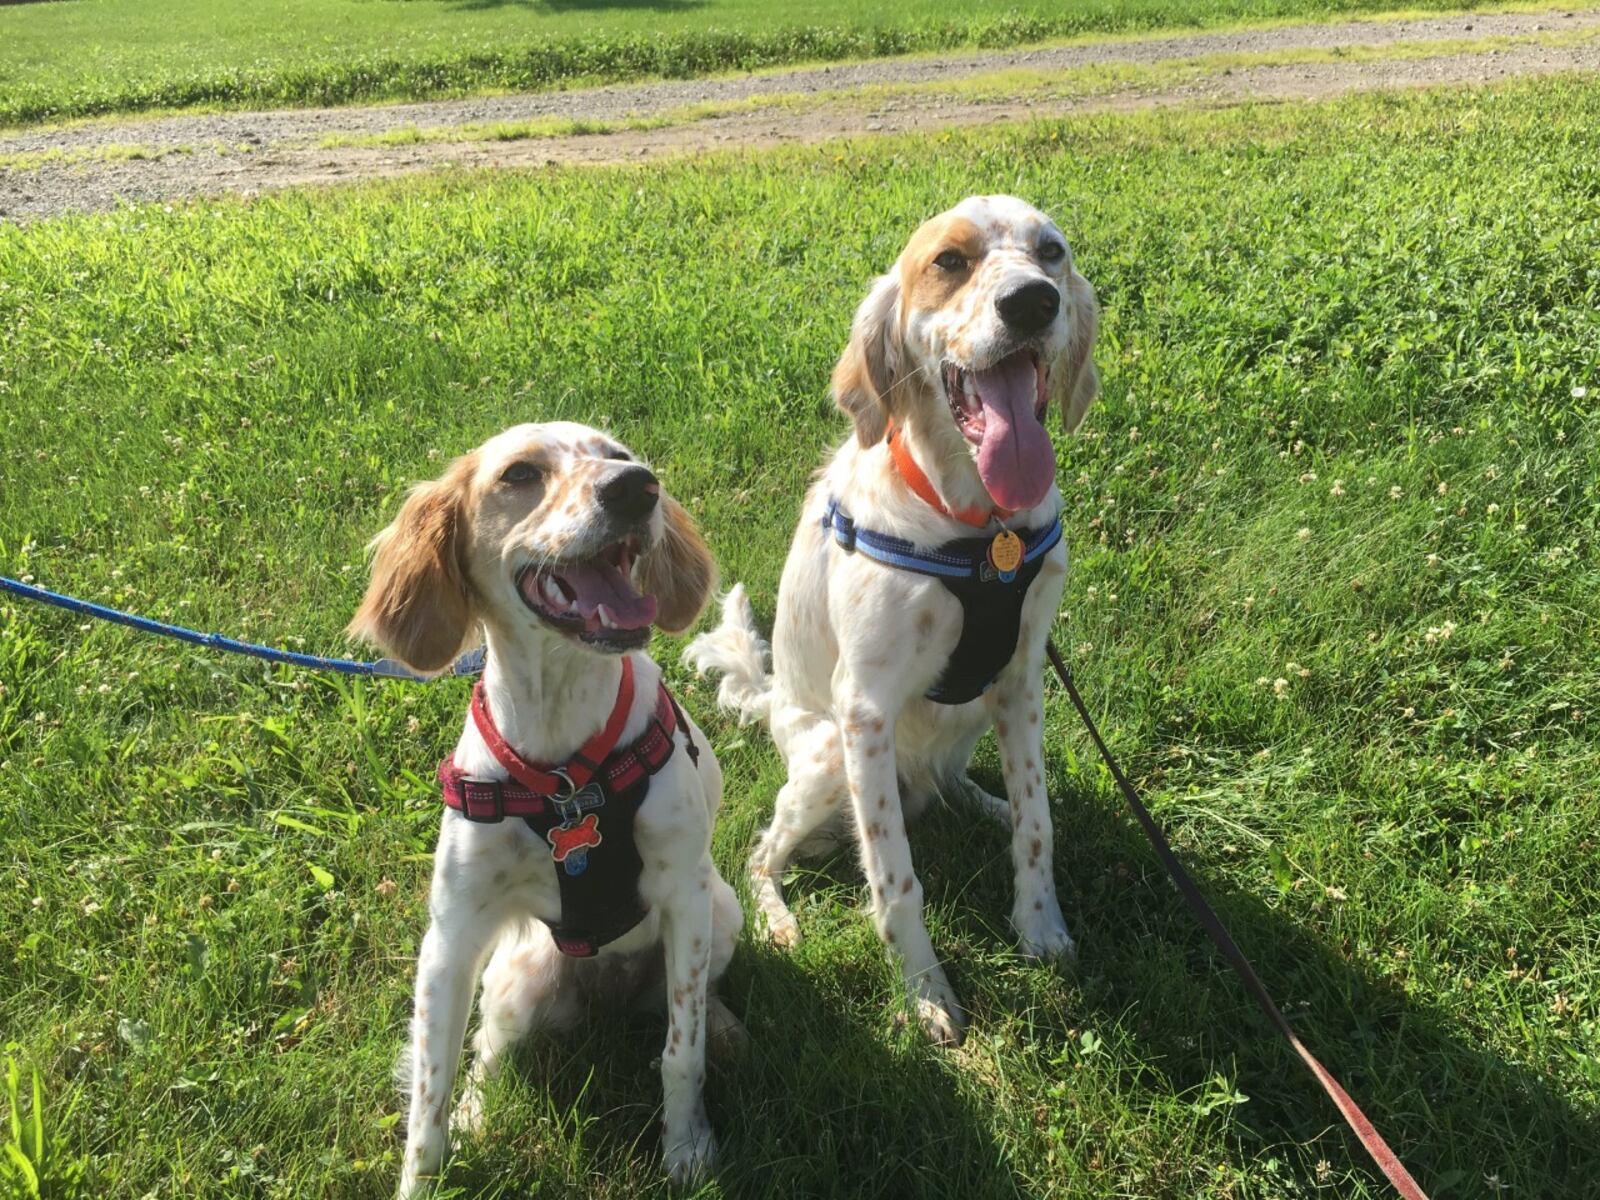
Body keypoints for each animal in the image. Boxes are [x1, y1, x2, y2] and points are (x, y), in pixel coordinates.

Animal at [353, 419, 739, 1196]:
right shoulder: (451, 938)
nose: (637, 488)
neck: (565, 772)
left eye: (619, 457)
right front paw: (425, 1173)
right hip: (514, 973)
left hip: (723, 912)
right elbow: (431, 1092)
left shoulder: (685, 897)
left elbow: (679, 1052)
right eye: (521, 474)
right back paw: (478, 1113)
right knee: (486, 1054)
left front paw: (687, 1148)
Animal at [688, 195, 1100, 1043]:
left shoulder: (1022, 680)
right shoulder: (866, 712)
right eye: (950, 262)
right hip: (821, 759)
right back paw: (778, 917)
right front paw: (925, 991)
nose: (1033, 302)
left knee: (954, 783)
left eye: (1051, 252)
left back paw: (980, 802)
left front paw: (1041, 927)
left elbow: (1037, 823)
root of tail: (773, 707)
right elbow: (894, 877)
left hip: (972, 719)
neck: (980, 529)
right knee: (761, 852)